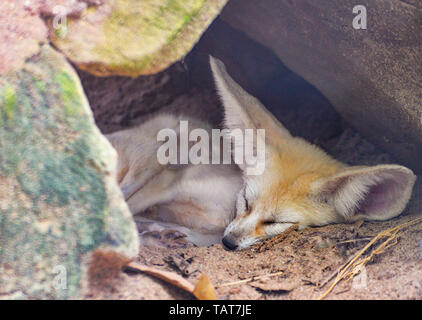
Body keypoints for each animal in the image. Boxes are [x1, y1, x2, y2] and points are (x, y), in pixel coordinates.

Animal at [105, 58, 416, 252]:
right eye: (245, 201)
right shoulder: (172, 179)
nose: (229, 243)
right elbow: (128, 206)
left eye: (276, 223)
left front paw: (164, 233)